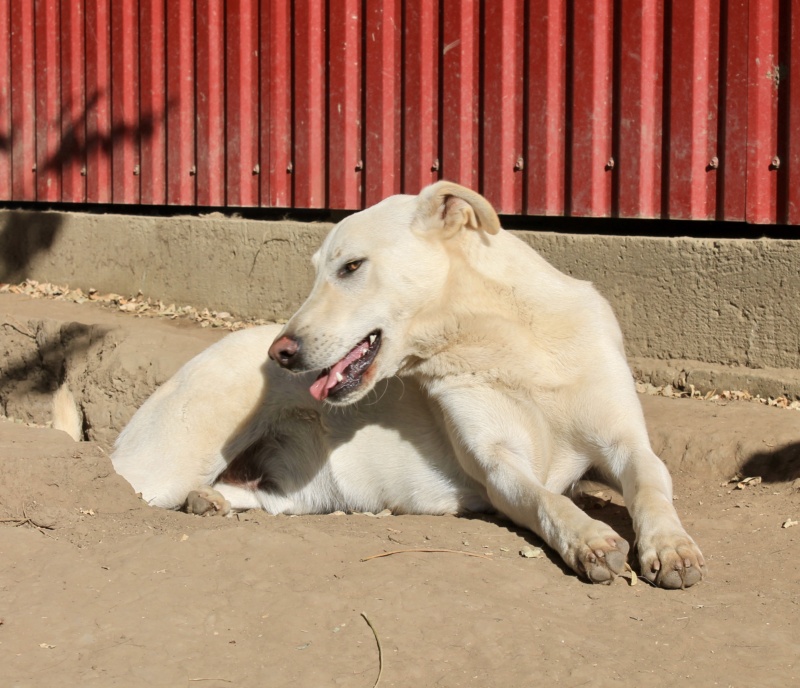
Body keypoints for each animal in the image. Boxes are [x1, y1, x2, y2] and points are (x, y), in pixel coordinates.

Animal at [109, 181, 704, 584]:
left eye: (350, 267)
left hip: (292, 496)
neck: (504, 341)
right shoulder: (498, 465)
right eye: (317, 271)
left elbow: (651, 484)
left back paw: (212, 501)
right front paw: (589, 539)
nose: (280, 354)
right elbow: (547, 502)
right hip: (168, 465)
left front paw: (671, 546)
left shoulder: (625, 443)